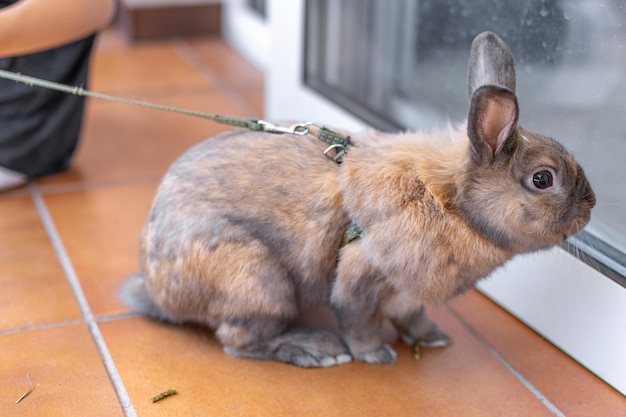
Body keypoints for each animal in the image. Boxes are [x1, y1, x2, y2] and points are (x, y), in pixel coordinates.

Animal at [119, 30, 592, 366]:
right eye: (543, 179)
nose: (590, 207)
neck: (449, 203)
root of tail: (158, 292)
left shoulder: (409, 290)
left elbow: (411, 316)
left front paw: (433, 338)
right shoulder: (361, 274)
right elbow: (360, 321)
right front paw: (375, 356)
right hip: (259, 282)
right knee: (239, 340)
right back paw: (313, 349)